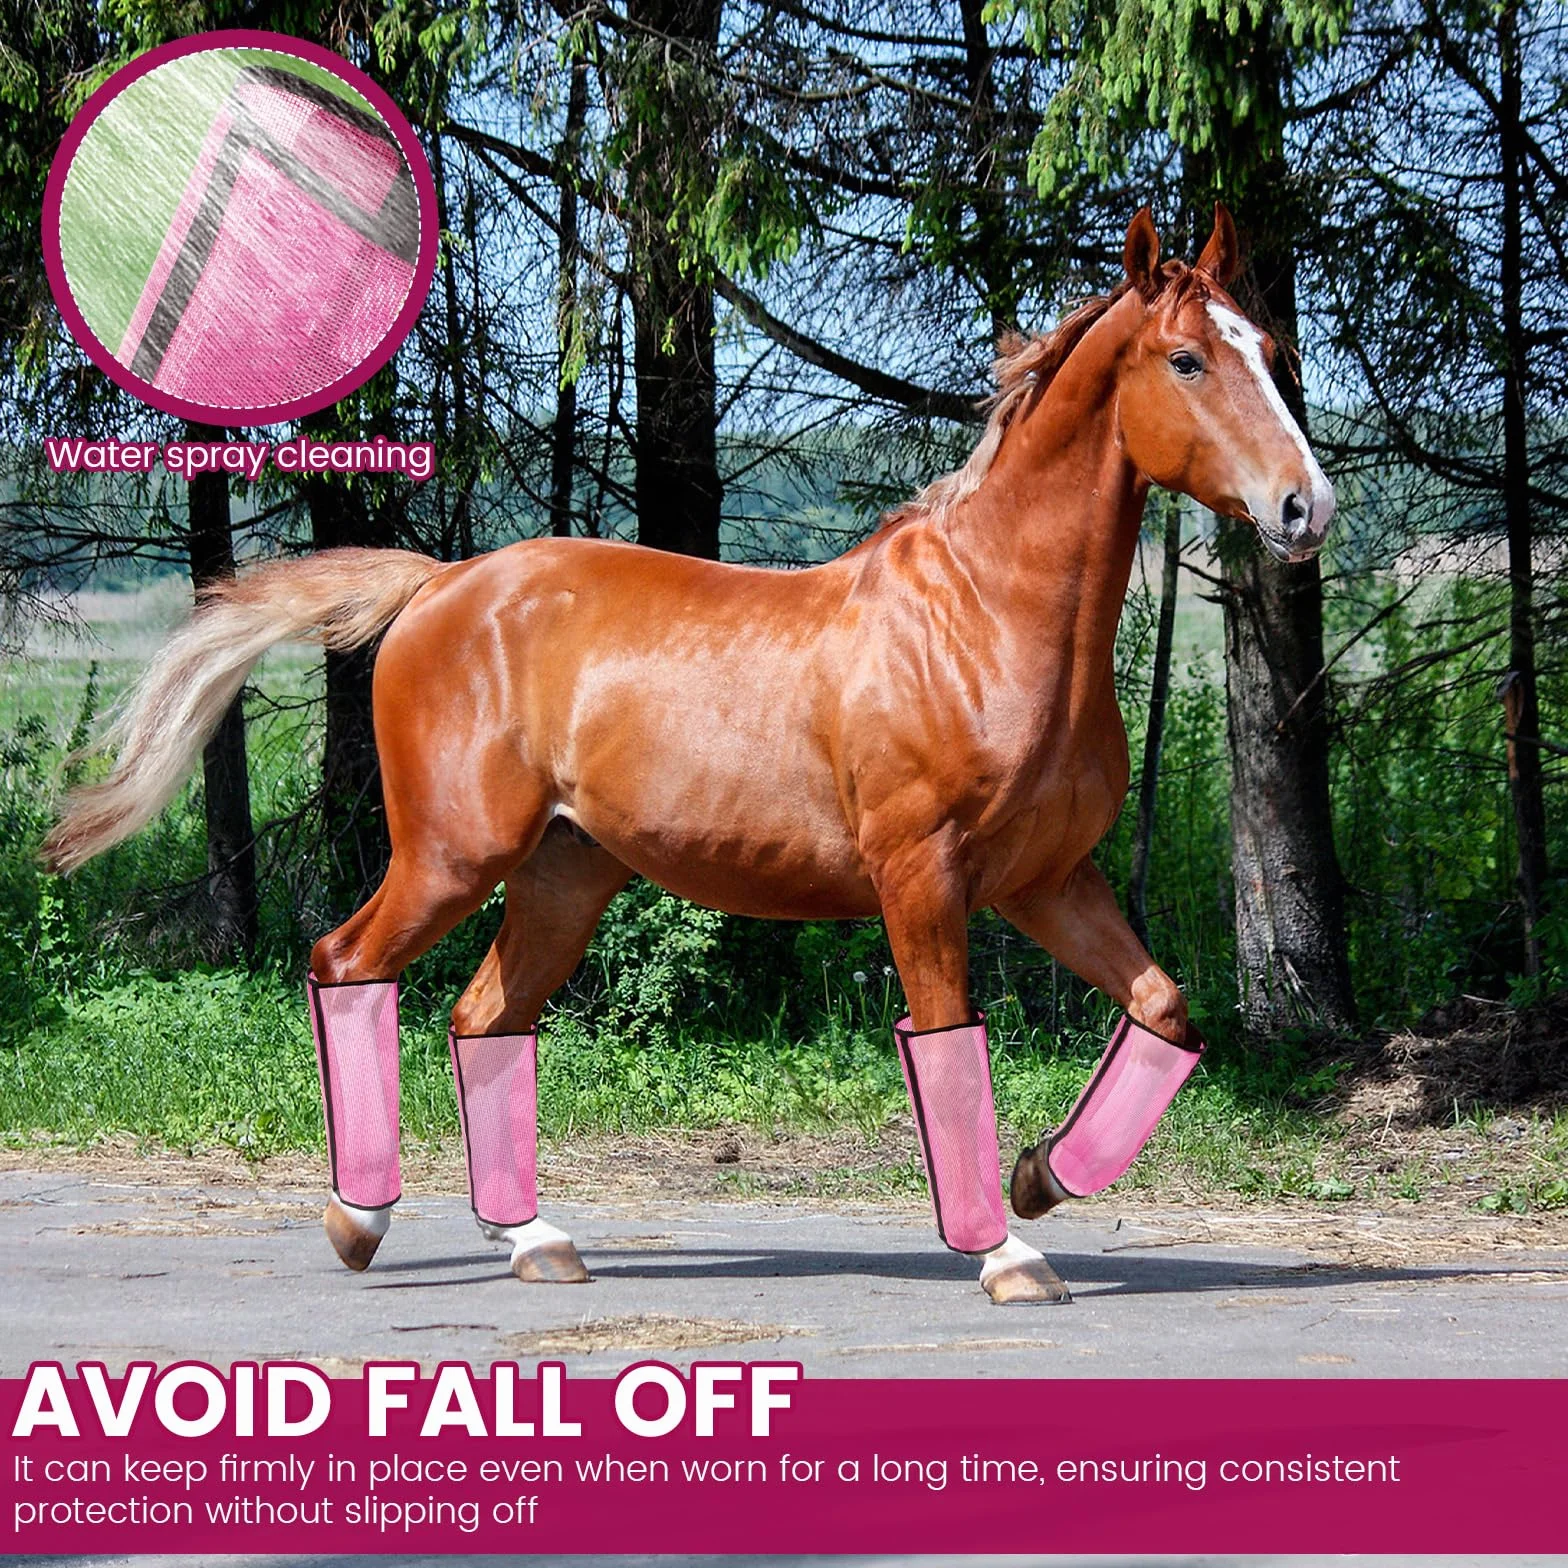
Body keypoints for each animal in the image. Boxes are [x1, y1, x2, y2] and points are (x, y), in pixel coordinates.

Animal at [44, 205, 1335, 1305]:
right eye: (1186, 360)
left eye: (1272, 347)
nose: (1303, 508)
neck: (985, 619)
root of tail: (439, 584)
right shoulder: (922, 876)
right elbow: (946, 1045)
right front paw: (1005, 1251)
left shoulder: (1044, 878)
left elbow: (1163, 1008)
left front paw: (1039, 1177)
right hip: (452, 854)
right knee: (346, 962)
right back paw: (358, 1218)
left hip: (564, 870)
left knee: (482, 1016)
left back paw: (534, 1238)